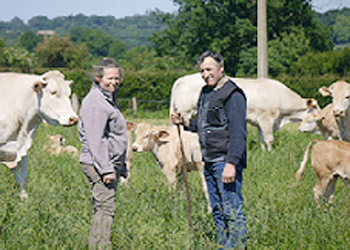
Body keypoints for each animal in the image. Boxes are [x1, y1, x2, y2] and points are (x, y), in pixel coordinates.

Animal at [0, 70, 79, 199]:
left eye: (68, 94)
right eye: (53, 92)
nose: (74, 119)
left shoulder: (22, 149)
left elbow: (22, 178)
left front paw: (25, 199)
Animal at [170, 72, 320, 150]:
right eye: (316, 107)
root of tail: (182, 78)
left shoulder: (260, 121)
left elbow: (261, 139)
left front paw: (264, 154)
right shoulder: (266, 119)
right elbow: (269, 139)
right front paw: (271, 153)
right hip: (184, 112)